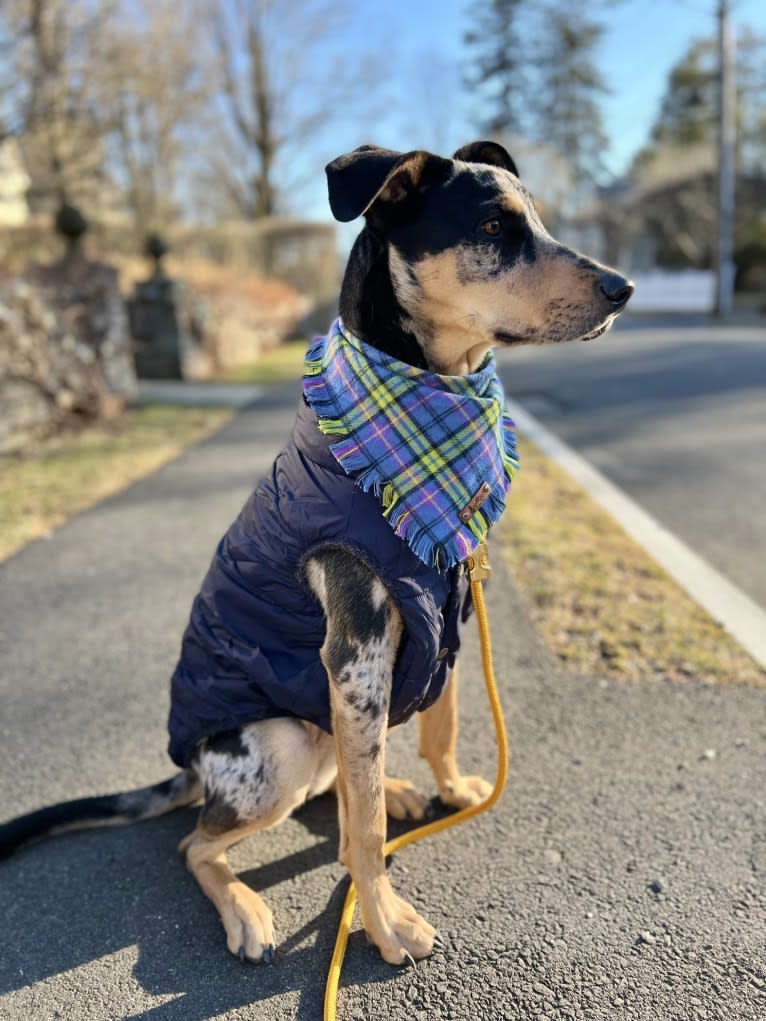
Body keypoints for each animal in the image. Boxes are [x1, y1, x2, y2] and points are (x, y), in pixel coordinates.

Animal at [0, 141, 637, 963]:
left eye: (541, 220)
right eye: (494, 227)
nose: (623, 289)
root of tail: (193, 766)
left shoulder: (445, 614)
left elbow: (440, 726)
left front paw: (451, 787)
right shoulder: (358, 652)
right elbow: (361, 829)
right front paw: (383, 920)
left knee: (339, 783)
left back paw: (392, 789)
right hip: (277, 747)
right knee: (199, 843)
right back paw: (245, 907)